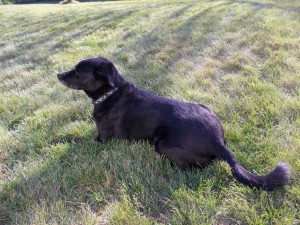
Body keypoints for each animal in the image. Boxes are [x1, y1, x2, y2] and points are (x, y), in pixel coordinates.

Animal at [56, 57, 290, 191]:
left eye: (77, 71)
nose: (58, 74)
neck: (110, 93)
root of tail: (218, 141)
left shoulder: (101, 140)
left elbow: (74, 140)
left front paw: (57, 141)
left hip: (162, 143)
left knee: (196, 165)